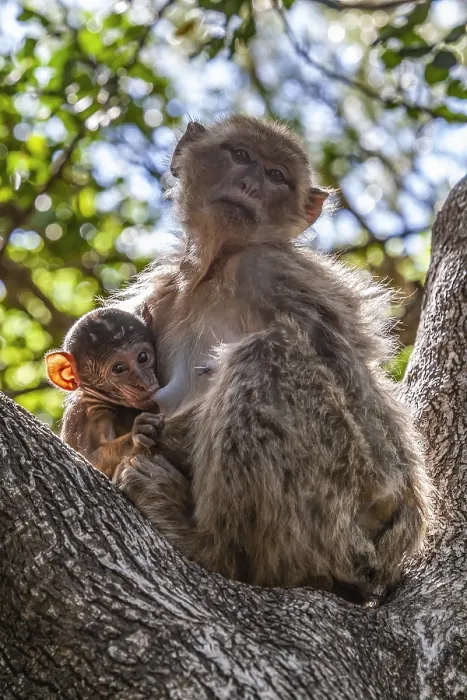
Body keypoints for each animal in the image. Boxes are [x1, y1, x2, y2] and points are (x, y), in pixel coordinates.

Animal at [45, 306, 168, 479]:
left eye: (142, 357)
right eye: (119, 368)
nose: (144, 383)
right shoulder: (89, 413)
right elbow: (90, 461)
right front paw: (136, 436)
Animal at [113, 116, 432, 599]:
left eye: (277, 176)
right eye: (241, 155)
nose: (250, 184)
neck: (216, 269)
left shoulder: (271, 271)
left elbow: (368, 413)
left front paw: (163, 436)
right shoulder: (165, 296)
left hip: (334, 515)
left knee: (266, 354)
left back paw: (211, 545)